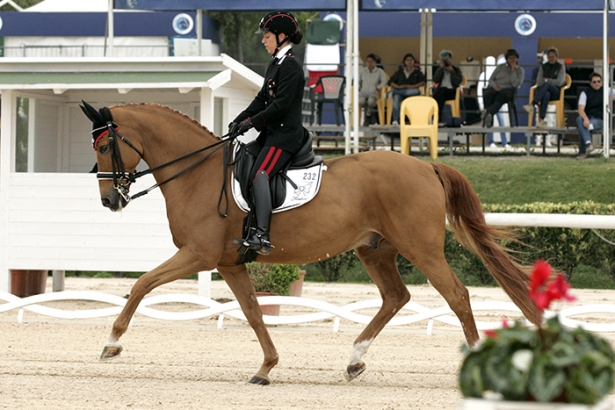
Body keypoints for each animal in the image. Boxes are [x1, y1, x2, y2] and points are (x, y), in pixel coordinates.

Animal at [79, 101, 540, 384]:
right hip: (375, 249)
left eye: (104, 144)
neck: (198, 173)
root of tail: (427, 167)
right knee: (396, 297)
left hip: (420, 248)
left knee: (457, 295)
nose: (108, 200)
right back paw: (354, 361)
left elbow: (142, 283)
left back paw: (477, 363)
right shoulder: (229, 263)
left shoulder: (198, 255)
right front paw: (266, 367)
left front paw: (111, 343)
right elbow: (253, 313)